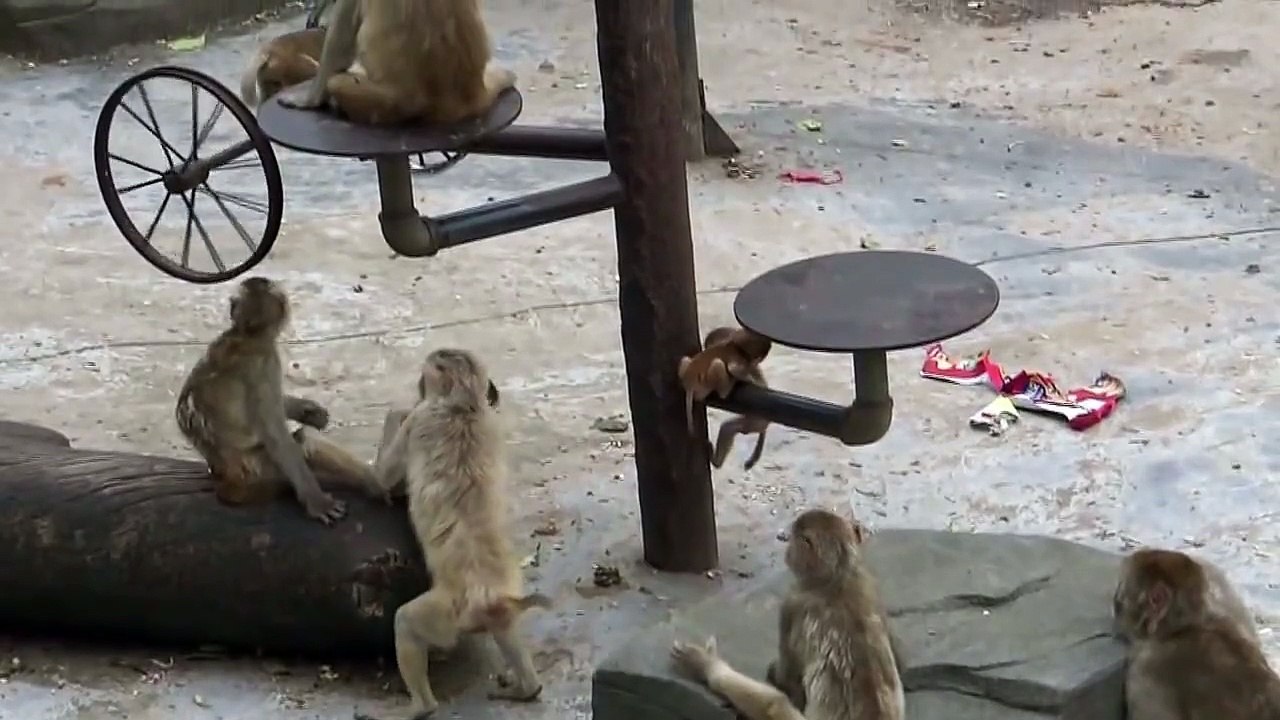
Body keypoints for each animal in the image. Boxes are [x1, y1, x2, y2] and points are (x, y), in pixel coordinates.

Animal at [175, 276, 387, 525]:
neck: (247, 334)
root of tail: (226, 475)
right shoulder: (266, 362)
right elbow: (277, 437)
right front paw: (317, 502)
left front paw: (309, 411)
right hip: (260, 469)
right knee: (305, 442)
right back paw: (372, 484)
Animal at [356, 348, 549, 720]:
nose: (418, 387)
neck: (463, 405)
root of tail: (488, 595)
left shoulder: (422, 418)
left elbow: (383, 480)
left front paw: (397, 410)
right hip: (497, 601)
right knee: (504, 627)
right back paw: (528, 687)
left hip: (448, 614)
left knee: (406, 622)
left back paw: (421, 707)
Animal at [671, 508, 904, 720]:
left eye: (794, 539)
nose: (786, 546)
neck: (838, 577)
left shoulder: (792, 605)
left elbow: (786, 679)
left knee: (775, 705)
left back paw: (709, 667)